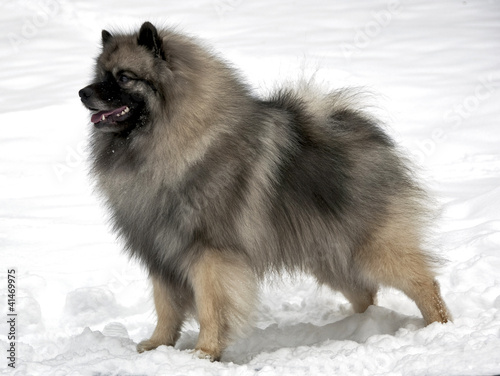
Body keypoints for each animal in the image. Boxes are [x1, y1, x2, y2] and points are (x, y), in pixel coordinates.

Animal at [80, 21, 452, 362]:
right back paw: (359, 326)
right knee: (365, 293)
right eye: (100, 74)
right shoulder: (161, 251)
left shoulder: (210, 254)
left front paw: (204, 352)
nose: (83, 92)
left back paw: (439, 326)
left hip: (371, 246)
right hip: (330, 254)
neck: (172, 140)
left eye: (123, 77)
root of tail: (355, 128)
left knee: (424, 283)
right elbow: (166, 307)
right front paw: (158, 345)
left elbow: (211, 307)